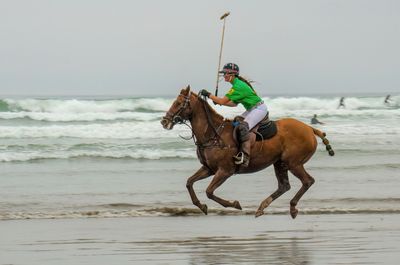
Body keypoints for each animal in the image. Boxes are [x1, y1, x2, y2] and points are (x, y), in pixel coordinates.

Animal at [160, 85, 334, 218]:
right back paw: (262, 207)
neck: (213, 133)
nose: (164, 121)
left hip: (293, 163)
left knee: (307, 181)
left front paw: (234, 204)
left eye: (179, 103)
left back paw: (292, 207)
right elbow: (189, 182)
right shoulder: (209, 168)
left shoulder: (225, 170)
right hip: (280, 163)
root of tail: (310, 128)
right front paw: (201, 206)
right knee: (284, 186)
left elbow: (209, 191)